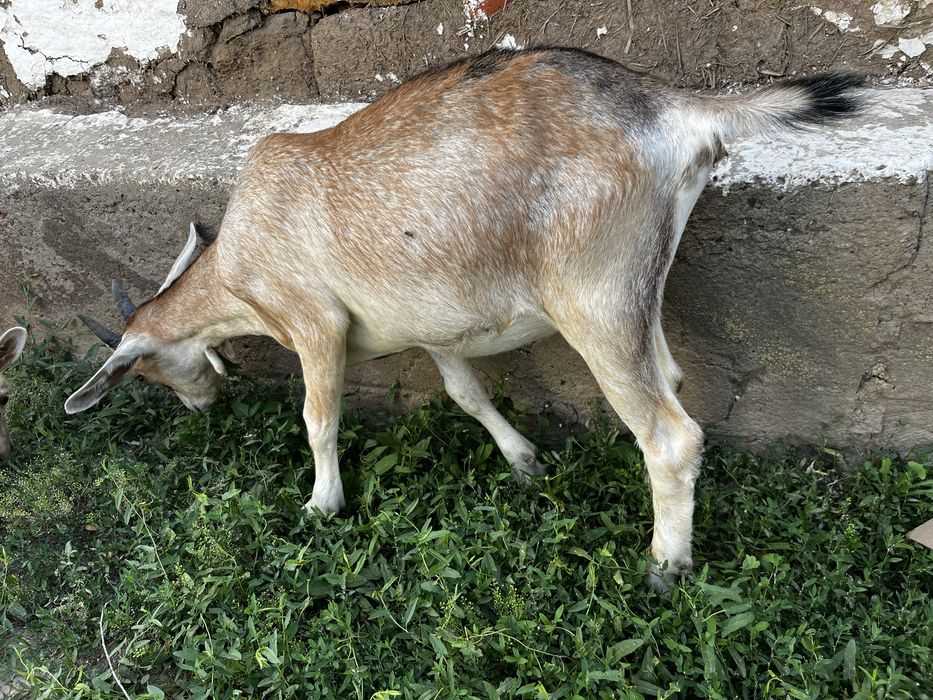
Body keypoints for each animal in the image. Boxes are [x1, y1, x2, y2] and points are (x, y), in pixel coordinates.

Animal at [65, 48, 863, 586]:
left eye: (150, 373)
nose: (202, 404)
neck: (235, 264)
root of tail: (676, 108)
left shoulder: (315, 322)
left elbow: (318, 419)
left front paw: (322, 505)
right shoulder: (431, 328)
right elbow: (465, 392)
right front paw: (524, 461)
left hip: (594, 294)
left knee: (670, 436)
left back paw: (665, 566)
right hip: (638, 286)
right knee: (669, 376)